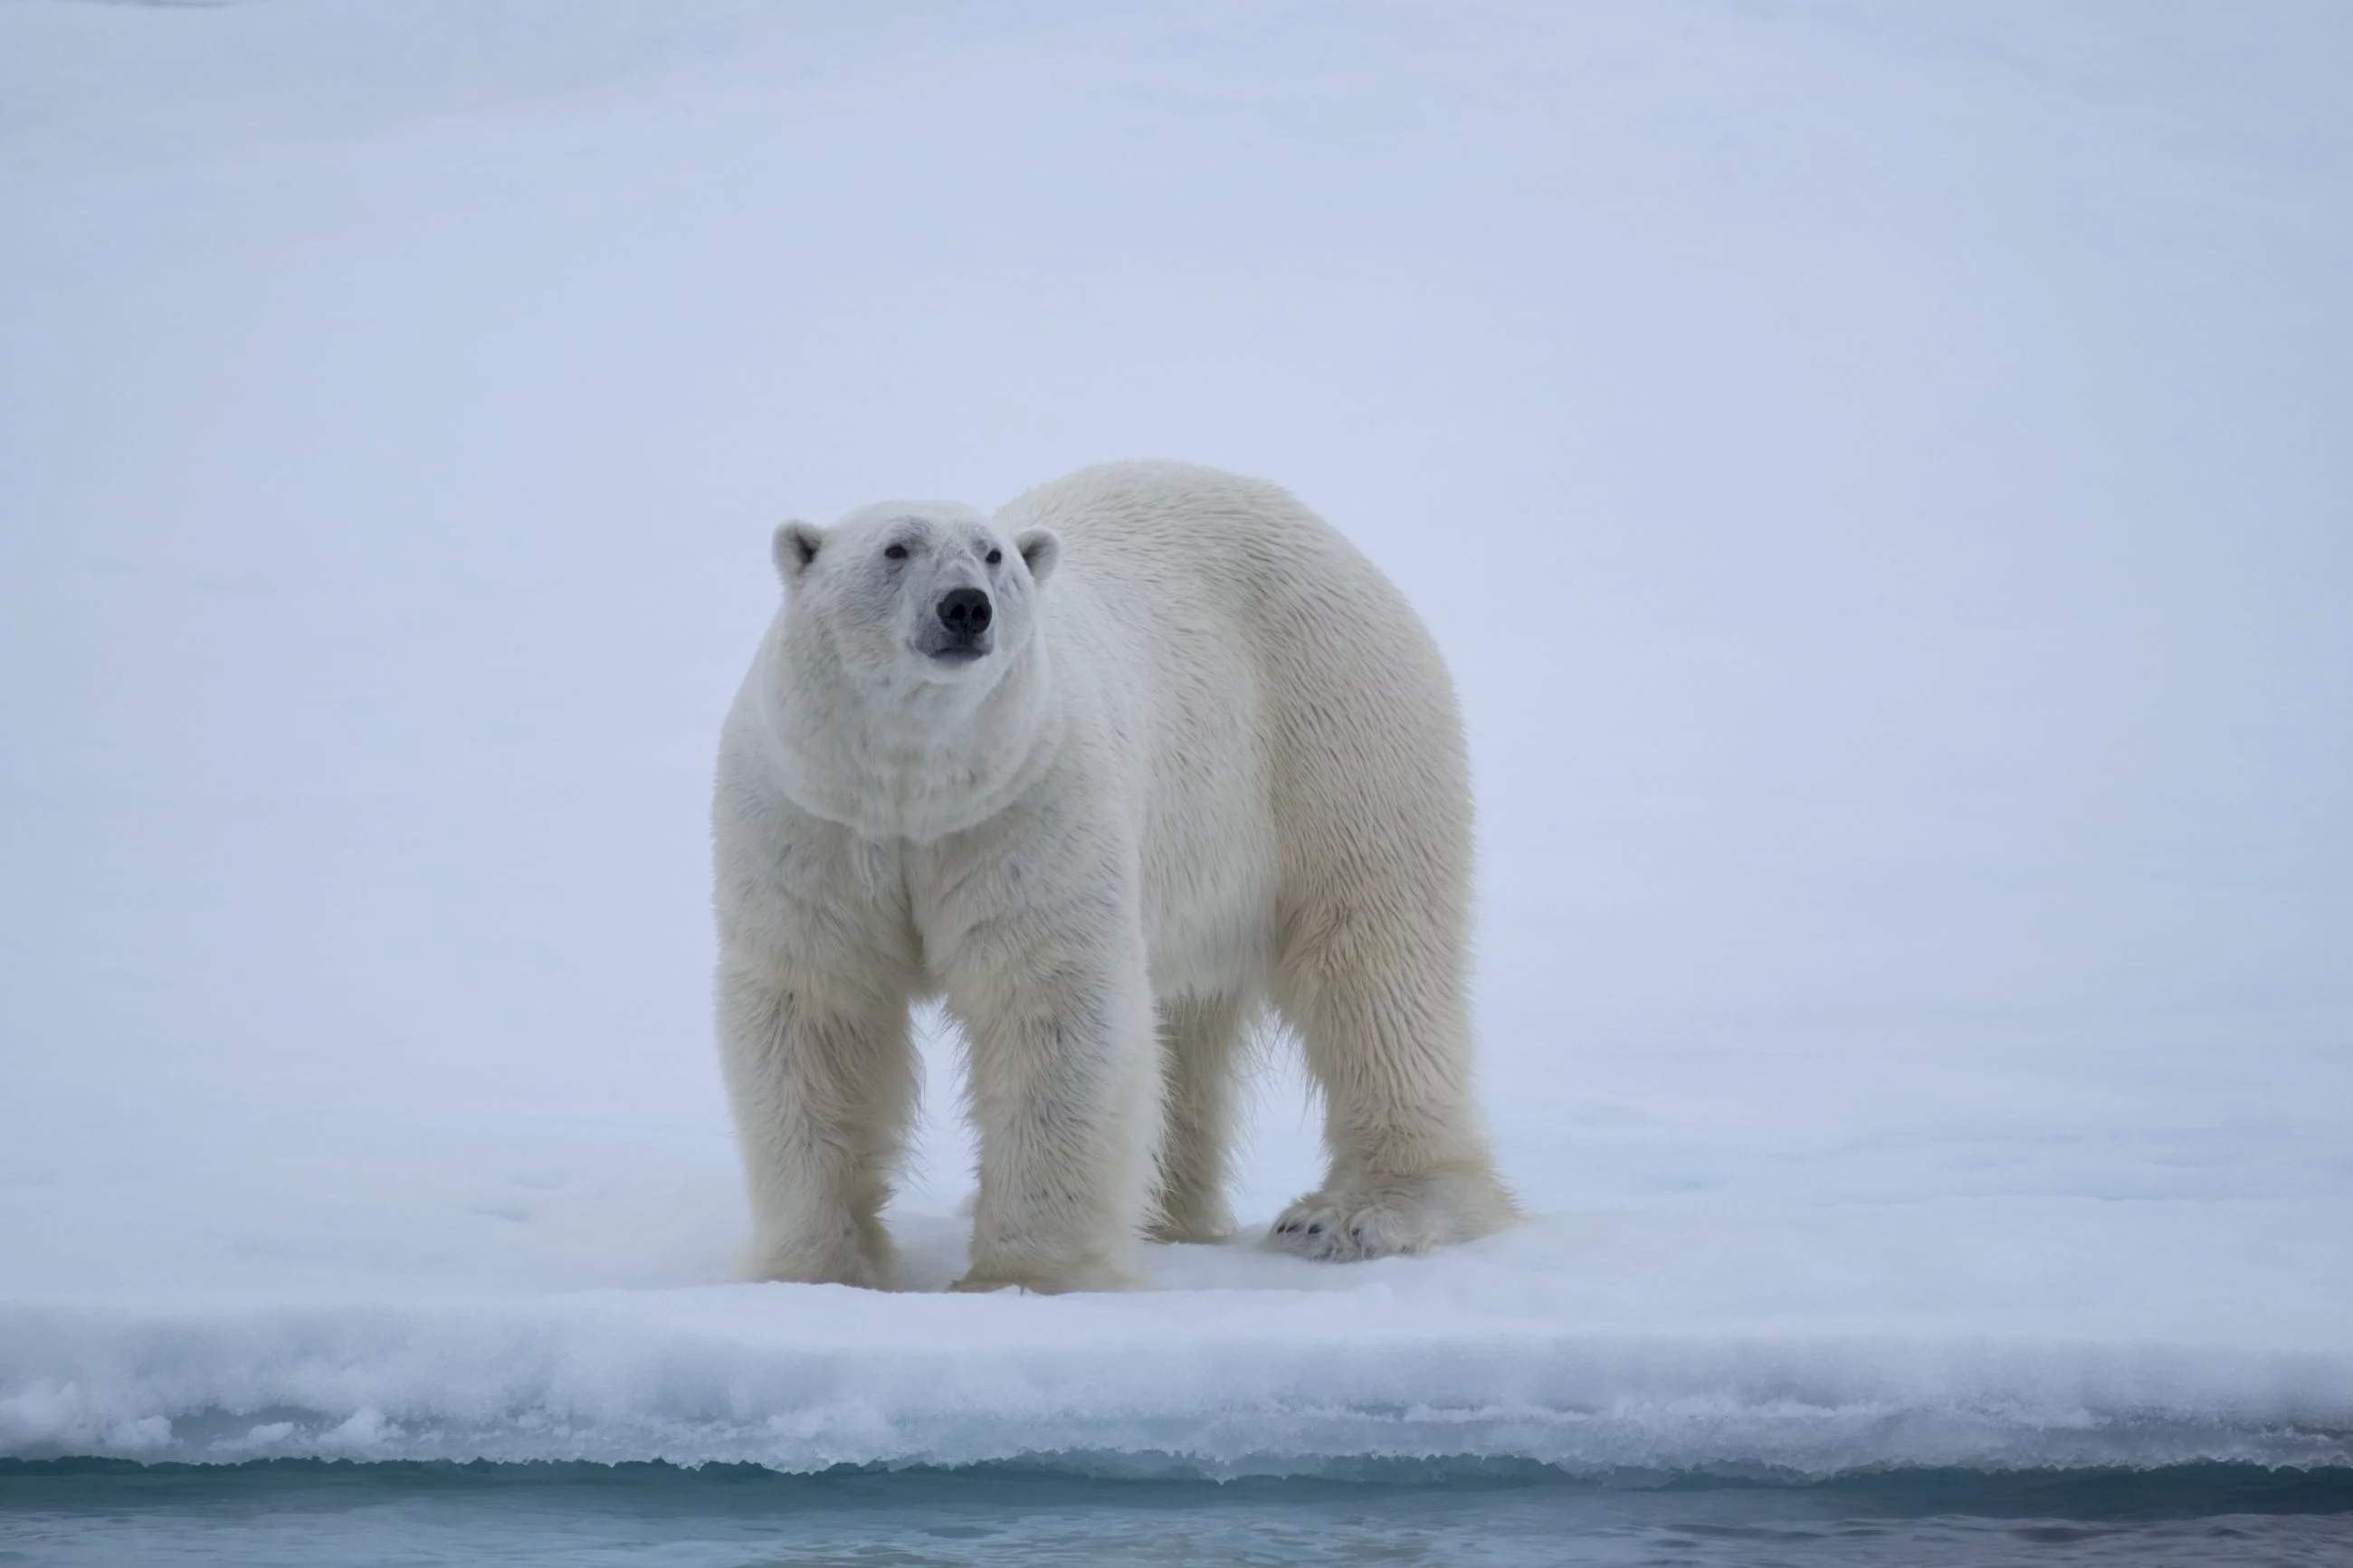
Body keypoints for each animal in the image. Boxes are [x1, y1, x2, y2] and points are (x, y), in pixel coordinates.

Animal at [715, 461, 1515, 1297]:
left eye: (993, 554)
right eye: (896, 548)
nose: (966, 606)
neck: (918, 789)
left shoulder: (1030, 806)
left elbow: (1052, 1003)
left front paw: (1028, 1277)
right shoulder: (815, 818)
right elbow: (818, 1009)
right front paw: (812, 1272)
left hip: (1332, 736)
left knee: (1373, 974)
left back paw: (1358, 1214)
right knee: (1189, 1024)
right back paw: (1166, 1212)